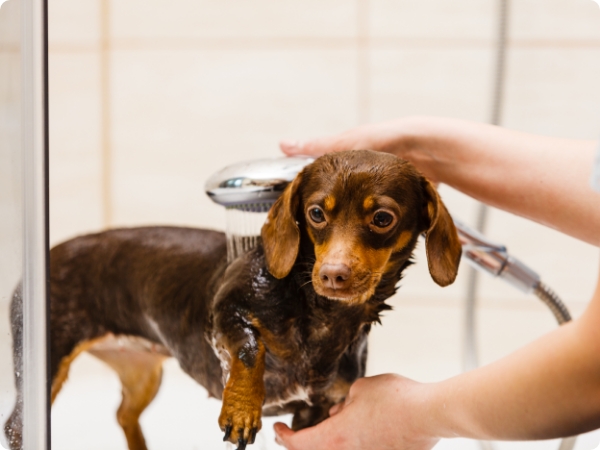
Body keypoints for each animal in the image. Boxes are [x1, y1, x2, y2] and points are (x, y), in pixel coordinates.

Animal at [4, 150, 462, 450]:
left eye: (382, 219)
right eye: (316, 213)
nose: (333, 274)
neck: (318, 315)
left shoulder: (316, 412)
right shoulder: (226, 311)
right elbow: (248, 349)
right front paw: (242, 410)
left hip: (142, 375)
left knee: (123, 414)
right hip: (44, 366)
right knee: (14, 428)